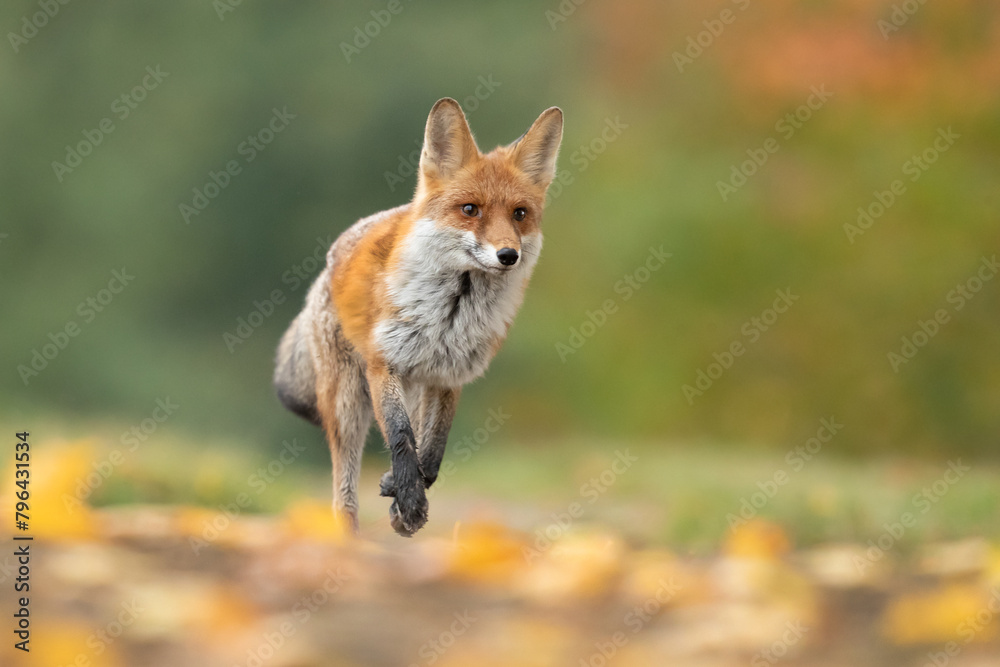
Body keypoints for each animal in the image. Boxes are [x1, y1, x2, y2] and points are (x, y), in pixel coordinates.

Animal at [274, 98, 563, 536]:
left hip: (412, 386)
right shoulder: (384, 365)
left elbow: (432, 450)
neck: (450, 315)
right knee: (344, 493)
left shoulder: (449, 376)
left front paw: (400, 496)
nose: (508, 255)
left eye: (519, 214)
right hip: (347, 402)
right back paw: (347, 539)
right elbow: (400, 437)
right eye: (470, 210)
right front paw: (409, 502)